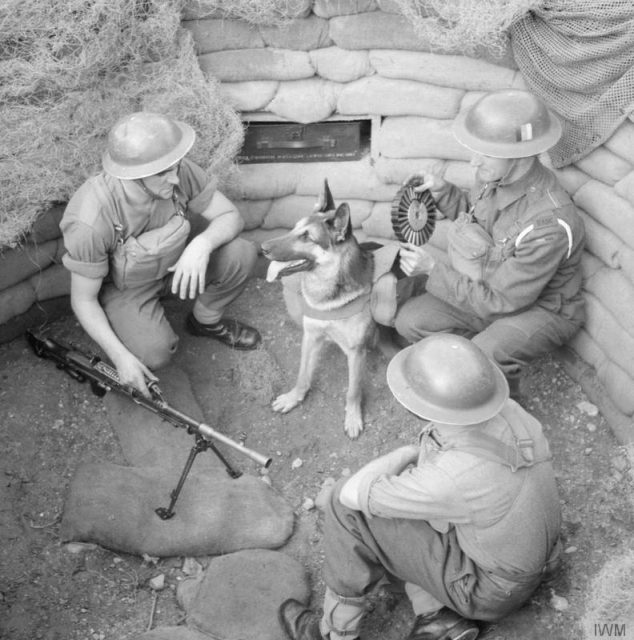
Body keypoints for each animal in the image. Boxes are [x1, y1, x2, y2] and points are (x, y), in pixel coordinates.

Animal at [260, 182, 372, 438]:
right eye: (294, 228)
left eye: (307, 237)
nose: (262, 248)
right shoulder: (310, 336)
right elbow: (303, 374)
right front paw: (294, 397)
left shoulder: (356, 352)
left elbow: (353, 391)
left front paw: (352, 417)